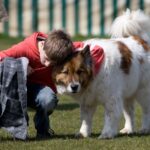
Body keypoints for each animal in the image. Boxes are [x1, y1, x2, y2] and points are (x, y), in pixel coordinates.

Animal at [52, 9, 150, 138]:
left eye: (80, 71)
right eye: (65, 72)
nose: (74, 86)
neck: (95, 70)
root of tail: (141, 41)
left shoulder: (111, 99)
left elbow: (109, 117)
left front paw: (107, 133)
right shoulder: (88, 101)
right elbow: (86, 119)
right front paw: (83, 133)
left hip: (143, 92)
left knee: (146, 111)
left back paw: (145, 128)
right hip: (127, 92)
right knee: (129, 112)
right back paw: (128, 129)